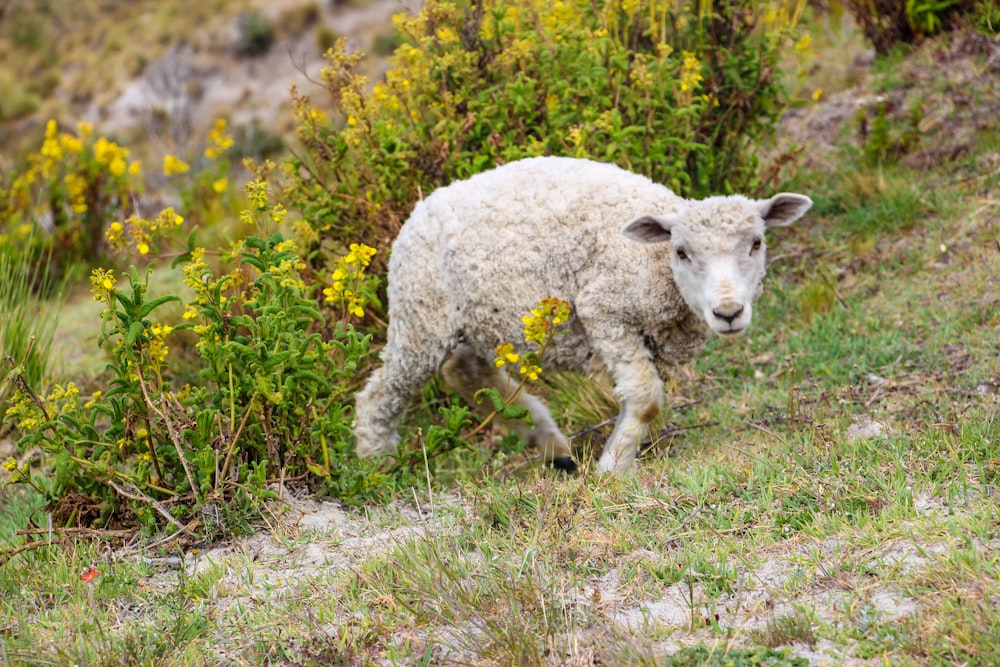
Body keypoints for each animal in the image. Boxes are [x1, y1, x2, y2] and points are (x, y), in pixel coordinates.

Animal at [352, 158, 812, 474]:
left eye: (756, 243)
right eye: (681, 252)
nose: (728, 312)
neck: (654, 265)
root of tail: (420, 208)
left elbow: (639, 399)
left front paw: (615, 456)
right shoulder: (604, 308)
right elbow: (646, 399)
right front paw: (613, 467)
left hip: (478, 318)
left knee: (464, 371)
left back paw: (551, 446)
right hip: (420, 313)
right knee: (385, 390)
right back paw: (375, 461)